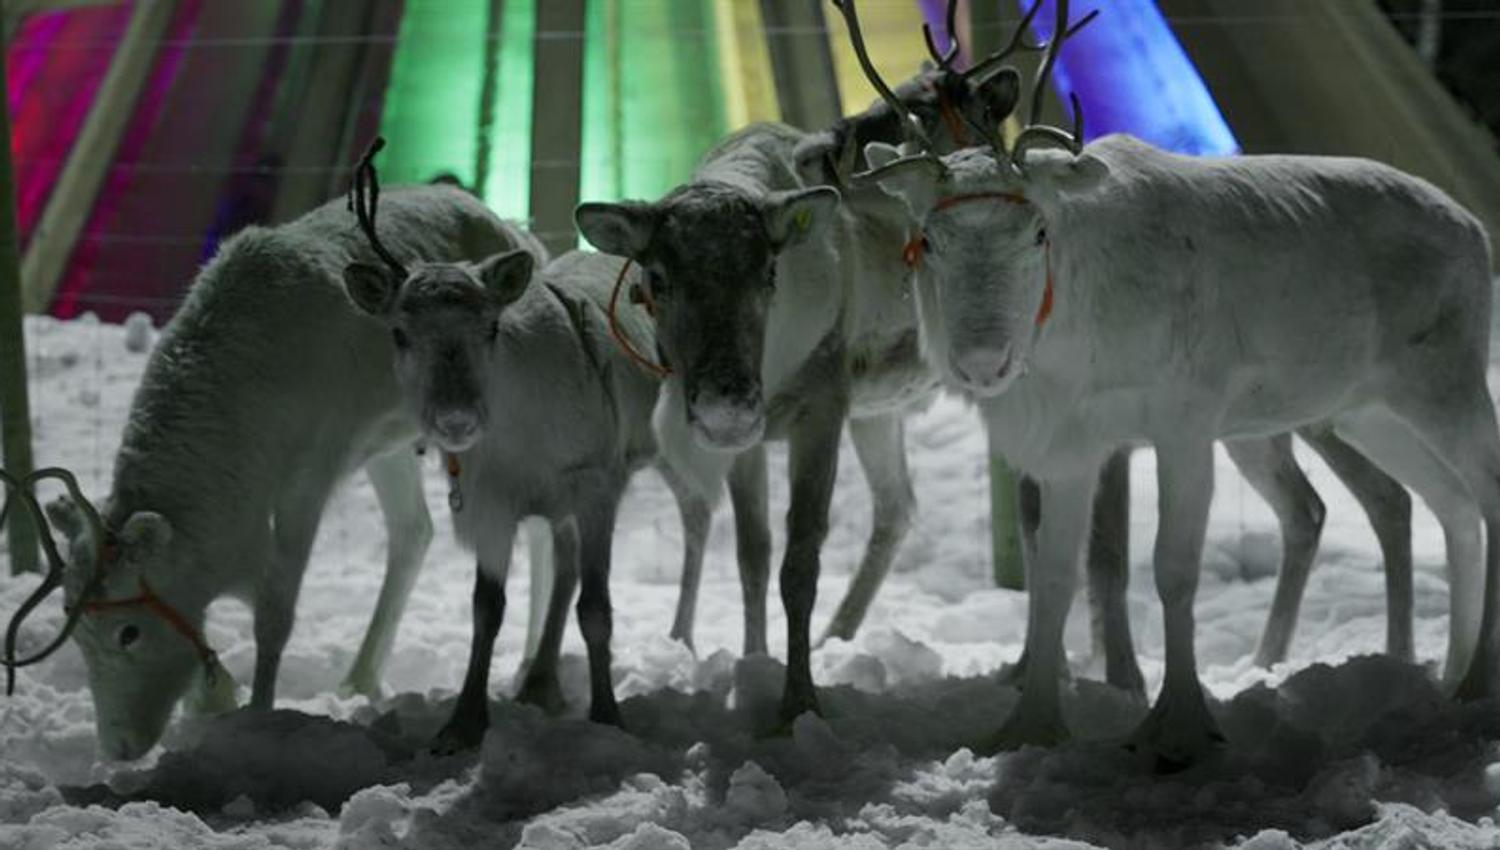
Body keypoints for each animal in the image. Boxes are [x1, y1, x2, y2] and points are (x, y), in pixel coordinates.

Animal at [2, 169, 542, 761]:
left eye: (129, 632)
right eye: (74, 629)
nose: (119, 748)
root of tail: (515, 228)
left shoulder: (309, 476)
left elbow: (275, 615)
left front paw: (258, 719)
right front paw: (210, 699)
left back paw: (530, 671)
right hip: (391, 446)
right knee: (413, 530)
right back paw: (359, 679)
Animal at [853, 0, 1499, 764]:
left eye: (1037, 231)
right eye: (928, 237)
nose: (982, 360)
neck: (1071, 341)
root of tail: (1475, 228)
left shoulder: (1183, 423)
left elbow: (1170, 568)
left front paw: (1180, 725)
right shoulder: (1070, 450)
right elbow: (1056, 576)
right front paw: (1030, 725)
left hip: (1447, 384)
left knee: (1483, 495)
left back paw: (1476, 682)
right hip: (1369, 412)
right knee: (1450, 506)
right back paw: (1451, 673)